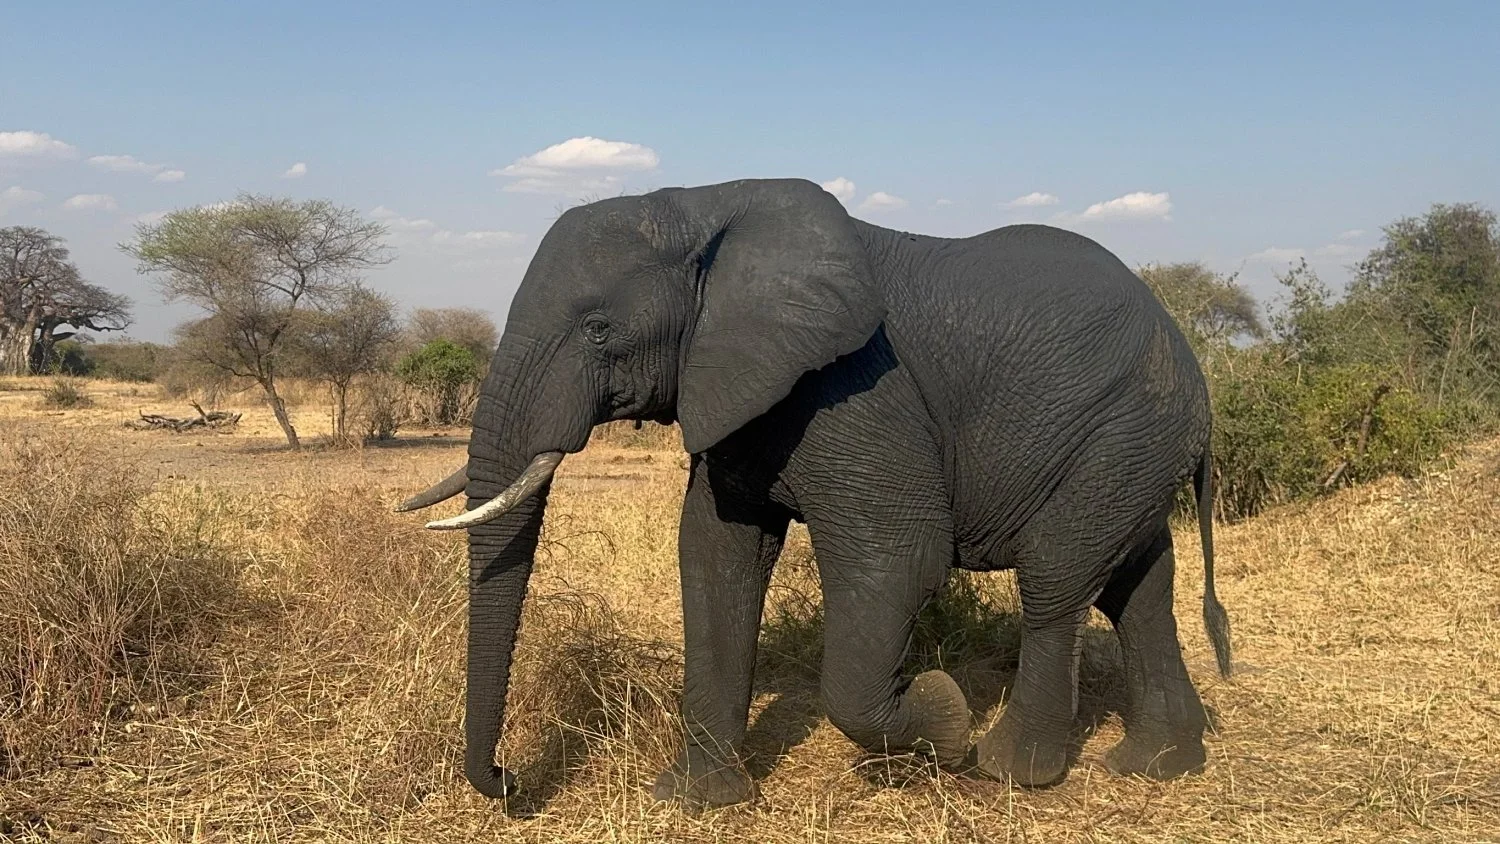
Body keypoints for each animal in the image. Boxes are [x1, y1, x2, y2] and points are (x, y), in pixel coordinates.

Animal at [396, 177, 1232, 811]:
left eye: (600, 329)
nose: (507, 779)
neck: (701, 208)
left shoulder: (857, 390)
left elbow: (898, 559)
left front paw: (943, 716)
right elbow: (714, 556)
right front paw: (700, 802)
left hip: (1128, 422)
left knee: (1058, 575)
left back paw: (1012, 770)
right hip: (1134, 444)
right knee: (1136, 584)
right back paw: (1159, 763)